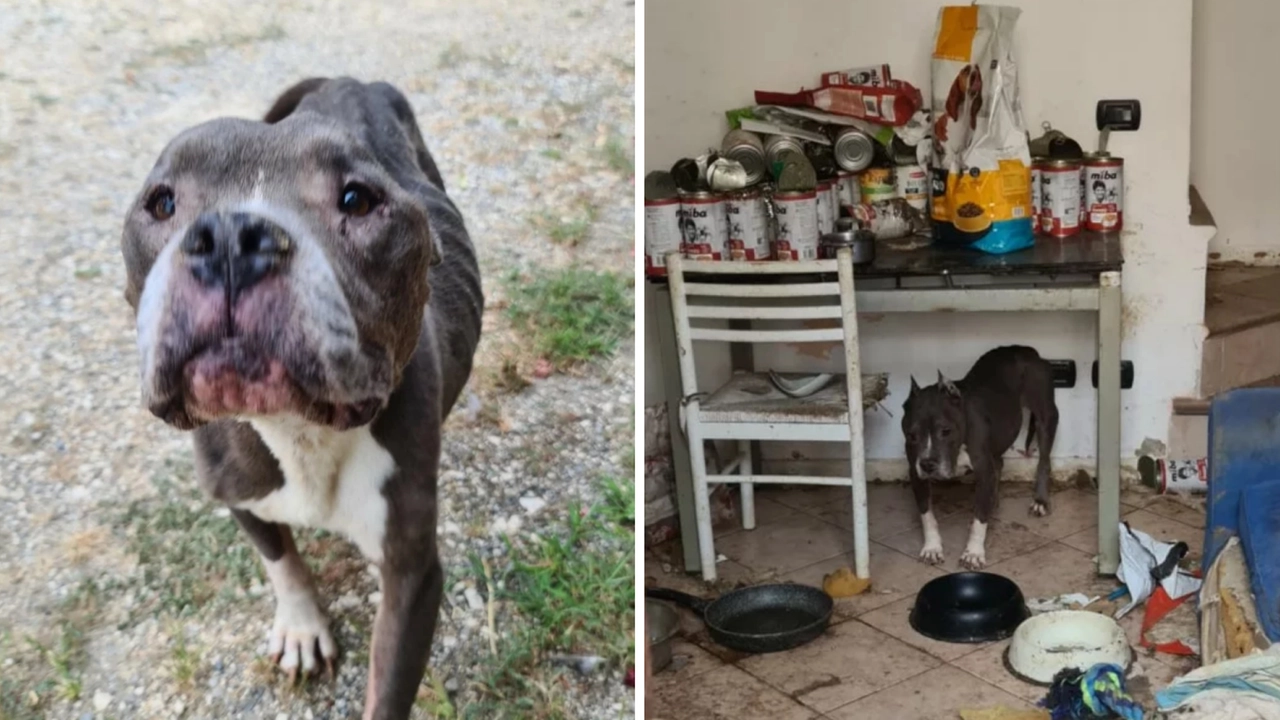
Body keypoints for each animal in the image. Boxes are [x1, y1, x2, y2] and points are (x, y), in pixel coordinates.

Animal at [119, 78, 483, 717]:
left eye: (357, 199)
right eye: (161, 203)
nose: (231, 238)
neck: (298, 426)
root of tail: (348, 80)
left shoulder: (412, 575)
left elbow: (386, 691)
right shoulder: (237, 491)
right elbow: (279, 558)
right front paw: (301, 626)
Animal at [896, 345, 1054, 566]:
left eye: (946, 431)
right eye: (911, 435)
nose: (927, 464)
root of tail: (1024, 349)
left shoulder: (983, 470)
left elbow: (979, 519)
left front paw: (973, 552)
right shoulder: (916, 474)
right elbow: (926, 514)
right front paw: (932, 547)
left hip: (1045, 417)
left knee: (1044, 460)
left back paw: (1040, 500)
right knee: (1000, 462)